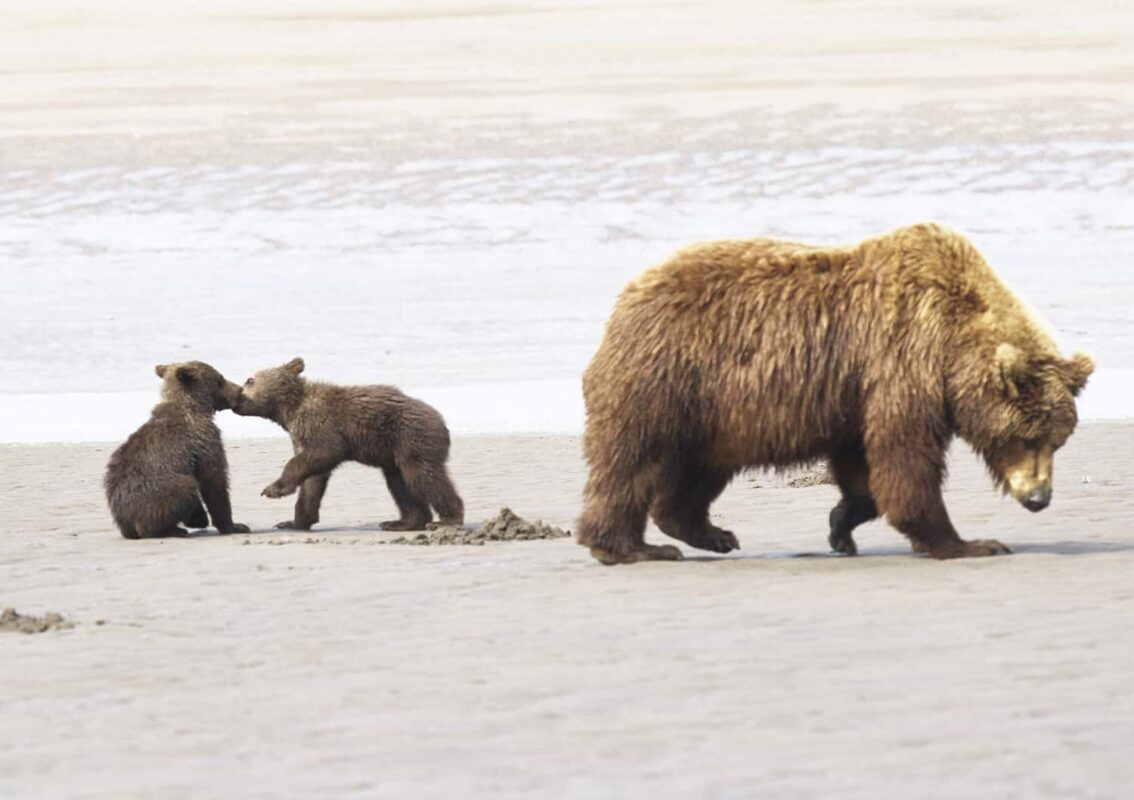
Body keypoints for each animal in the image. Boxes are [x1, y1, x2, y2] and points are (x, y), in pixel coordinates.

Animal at [105, 361, 250, 539]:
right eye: (220, 379)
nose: (239, 390)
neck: (193, 407)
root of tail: (125, 522)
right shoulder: (203, 441)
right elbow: (214, 481)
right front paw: (234, 526)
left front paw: (198, 518)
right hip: (155, 493)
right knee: (184, 487)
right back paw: (174, 529)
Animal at [231, 358, 464, 531]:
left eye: (249, 380)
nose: (235, 400)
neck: (288, 411)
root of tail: (441, 420)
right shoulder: (301, 436)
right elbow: (312, 480)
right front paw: (293, 521)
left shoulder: (320, 424)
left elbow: (322, 453)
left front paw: (273, 489)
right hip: (394, 454)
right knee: (400, 484)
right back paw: (401, 522)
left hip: (411, 438)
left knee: (424, 476)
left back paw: (447, 520)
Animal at [576, 223, 1093, 564]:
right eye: (1025, 436)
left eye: (1058, 439)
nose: (1039, 498)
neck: (951, 341)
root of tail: (626, 299)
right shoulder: (900, 364)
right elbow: (906, 461)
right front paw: (968, 543)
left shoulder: (855, 392)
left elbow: (861, 466)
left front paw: (841, 526)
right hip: (665, 379)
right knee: (631, 462)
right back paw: (631, 547)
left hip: (712, 416)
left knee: (696, 471)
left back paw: (711, 534)